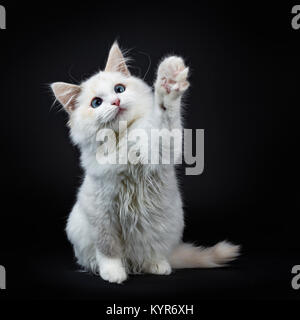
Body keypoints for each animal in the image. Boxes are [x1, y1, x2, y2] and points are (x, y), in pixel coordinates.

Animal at [51, 42, 239, 282]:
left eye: (119, 89)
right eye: (96, 103)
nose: (116, 102)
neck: (124, 141)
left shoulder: (161, 149)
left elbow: (166, 117)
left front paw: (169, 82)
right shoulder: (102, 214)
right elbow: (108, 250)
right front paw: (113, 273)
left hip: (163, 229)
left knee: (151, 255)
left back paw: (159, 266)